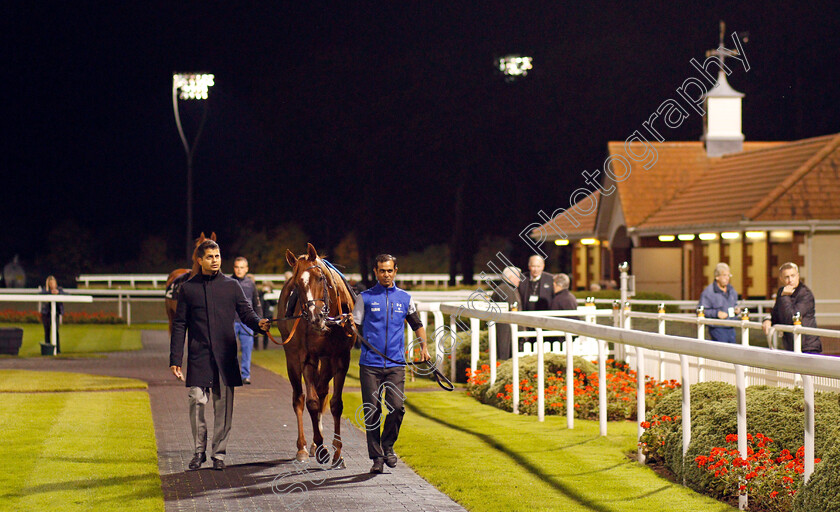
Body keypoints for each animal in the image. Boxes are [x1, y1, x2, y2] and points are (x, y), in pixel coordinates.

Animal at [276, 244, 354, 468]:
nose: (315, 316)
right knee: (299, 398)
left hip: (326, 360)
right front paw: (322, 448)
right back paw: (303, 447)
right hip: (292, 358)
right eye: (297, 284)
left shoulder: (341, 358)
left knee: (321, 390)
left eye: (320, 278)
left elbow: (335, 403)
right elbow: (310, 402)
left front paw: (337, 453)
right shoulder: (307, 358)